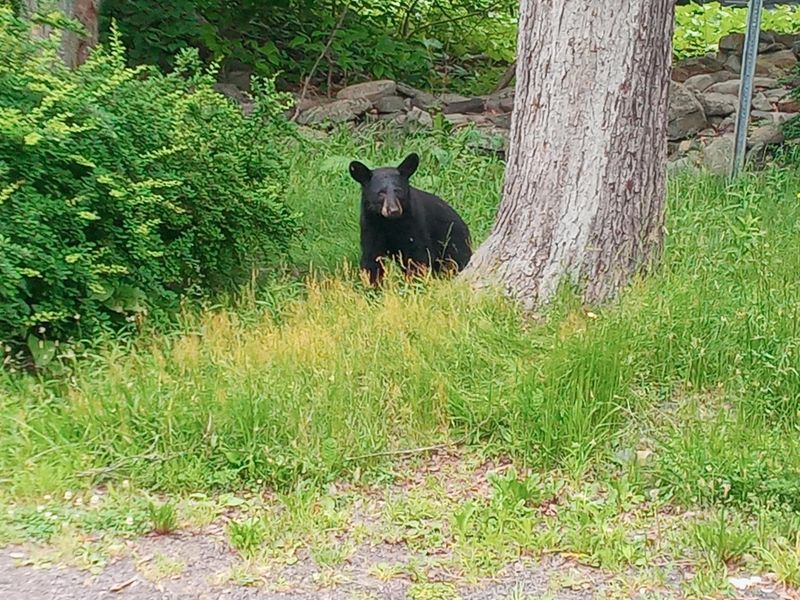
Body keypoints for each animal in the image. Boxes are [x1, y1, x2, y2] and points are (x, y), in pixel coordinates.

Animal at [348, 153, 472, 285]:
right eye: (381, 193)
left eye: (398, 191)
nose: (394, 210)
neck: (389, 223)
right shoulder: (370, 226)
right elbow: (372, 258)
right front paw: (373, 285)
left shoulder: (414, 225)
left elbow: (417, 257)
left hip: (453, 242)